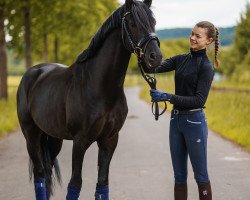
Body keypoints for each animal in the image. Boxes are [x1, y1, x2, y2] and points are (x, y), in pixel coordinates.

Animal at [17, 0, 162, 199]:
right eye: (133, 23)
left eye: (153, 22)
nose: (155, 57)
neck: (99, 87)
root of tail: (32, 73)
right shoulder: (80, 141)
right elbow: (75, 183)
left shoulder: (109, 140)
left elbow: (102, 183)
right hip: (31, 135)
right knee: (39, 174)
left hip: (53, 138)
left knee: (46, 172)